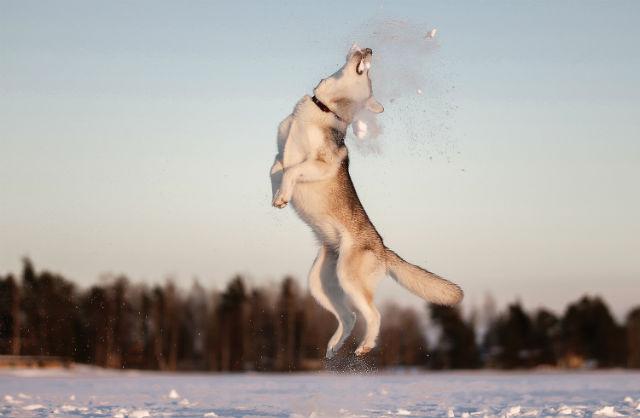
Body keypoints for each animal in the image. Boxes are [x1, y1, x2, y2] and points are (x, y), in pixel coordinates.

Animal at [268, 46, 460, 360]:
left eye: (369, 74)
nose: (369, 49)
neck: (322, 109)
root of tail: (383, 249)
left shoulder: (321, 163)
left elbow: (293, 170)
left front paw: (284, 194)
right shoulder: (278, 154)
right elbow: (276, 170)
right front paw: (278, 195)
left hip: (349, 278)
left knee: (373, 315)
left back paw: (365, 345)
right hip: (320, 283)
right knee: (350, 316)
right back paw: (334, 348)